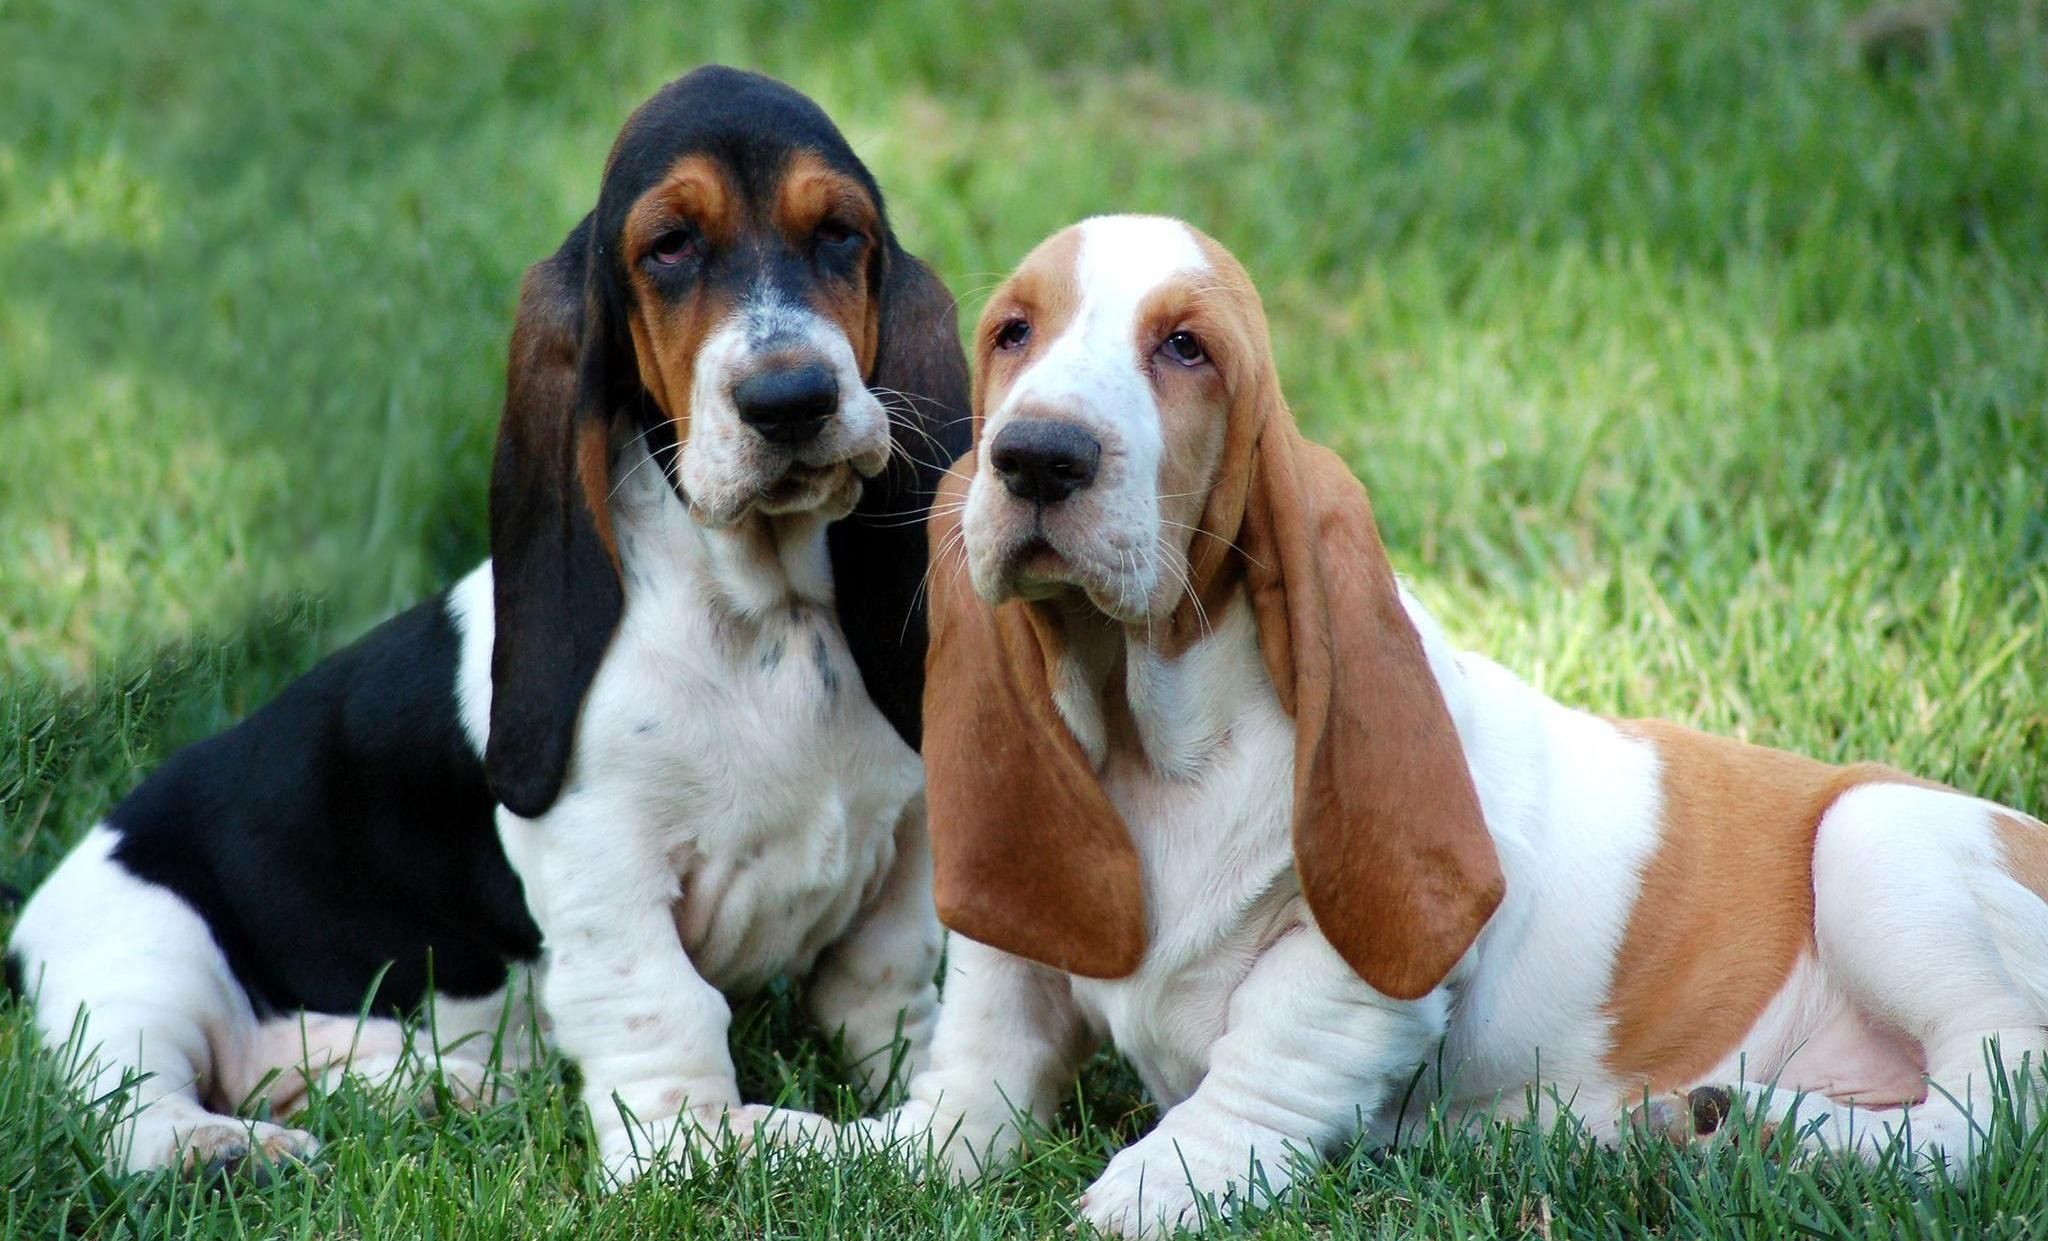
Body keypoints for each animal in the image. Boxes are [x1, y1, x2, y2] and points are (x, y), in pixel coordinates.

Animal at [8, 65, 970, 1187]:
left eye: (839, 234)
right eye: (667, 247)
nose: (791, 397)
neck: (763, 608)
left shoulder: (903, 841)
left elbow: (885, 986)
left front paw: (927, 1086)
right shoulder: (605, 868)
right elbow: (664, 1020)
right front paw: (719, 1143)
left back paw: (436, 1090)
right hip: (146, 960)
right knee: (131, 1110)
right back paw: (225, 1147)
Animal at [864, 214, 2048, 1236]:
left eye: (1186, 348)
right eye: (1012, 332)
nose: (1036, 455)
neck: (1153, 738)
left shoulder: (1363, 970)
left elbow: (1272, 1049)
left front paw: (1169, 1175)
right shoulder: (1019, 924)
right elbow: (984, 1052)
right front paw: (887, 1146)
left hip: (1874, 838)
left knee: (1996, 1087)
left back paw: (1770, 1125)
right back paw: (1728, 1121)